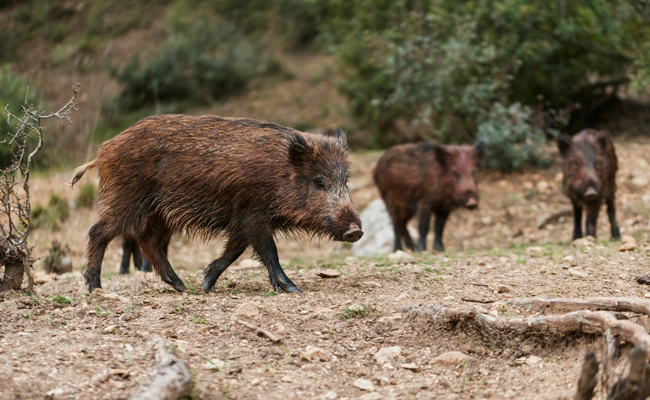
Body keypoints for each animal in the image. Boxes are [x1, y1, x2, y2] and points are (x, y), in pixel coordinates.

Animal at [71, 115, 363, 293]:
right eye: (319, 182)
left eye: (345, 181)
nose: (356, 230)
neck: (276, 175)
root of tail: (103, 151)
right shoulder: (253, 214)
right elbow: (268, 251)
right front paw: (293, 288)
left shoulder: (242, 219)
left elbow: (235, 249)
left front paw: (207, 284)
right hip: (126, 198)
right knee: (98, 232)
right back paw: (95, 287)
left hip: (159, 213)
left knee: (149, 242)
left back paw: (181, 286)